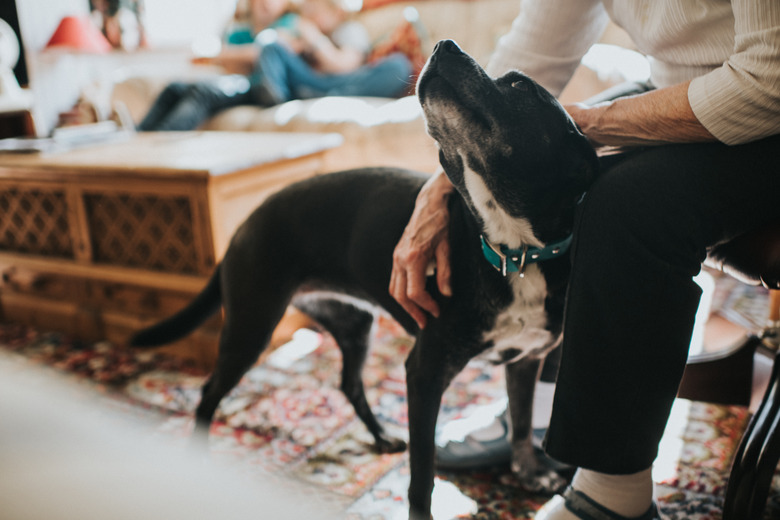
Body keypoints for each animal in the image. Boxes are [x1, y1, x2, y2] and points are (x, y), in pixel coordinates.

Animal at [133, 38, 596, 516]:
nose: (444, 44)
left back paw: (379, 436)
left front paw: (530, 470)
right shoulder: (425, 372)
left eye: (520, 85)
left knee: (349, 382)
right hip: (252, 325)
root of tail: (249, 217)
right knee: (209, 391)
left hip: (353, 324)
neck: (515, 250)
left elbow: (521, 422)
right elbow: (421, 476)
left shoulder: (525, 359)